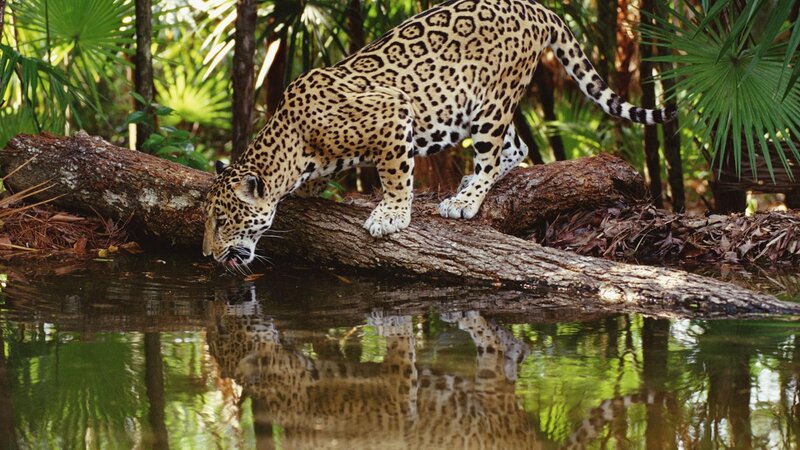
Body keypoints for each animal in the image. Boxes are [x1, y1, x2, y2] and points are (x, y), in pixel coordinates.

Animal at [203, 0, 676, 267]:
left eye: (223, 221)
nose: (207, 255)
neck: (292, 143)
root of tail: (535, 7)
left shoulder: (393, 113)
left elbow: (396, 175)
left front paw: (391, 214)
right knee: (518, 144)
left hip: (491, 104)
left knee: (493, 152)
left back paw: (466, 200)